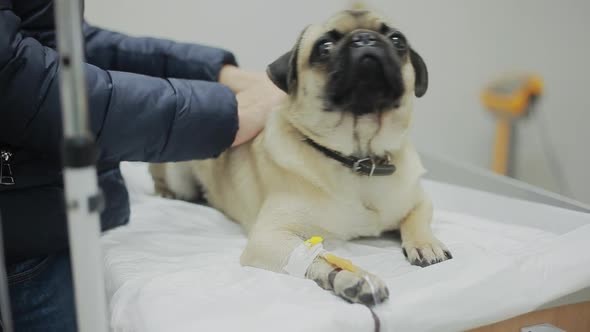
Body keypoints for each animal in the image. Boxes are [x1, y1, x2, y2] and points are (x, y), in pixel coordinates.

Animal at [151, 8, 454, 306]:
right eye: (324, 47)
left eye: (397, 40)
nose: (365, 38)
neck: (358, 159)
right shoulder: (270, 237)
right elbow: (318, 257)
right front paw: (352, 277)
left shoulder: (418, 200)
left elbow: (416, 220)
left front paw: (426, 244)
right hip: (178, 172)